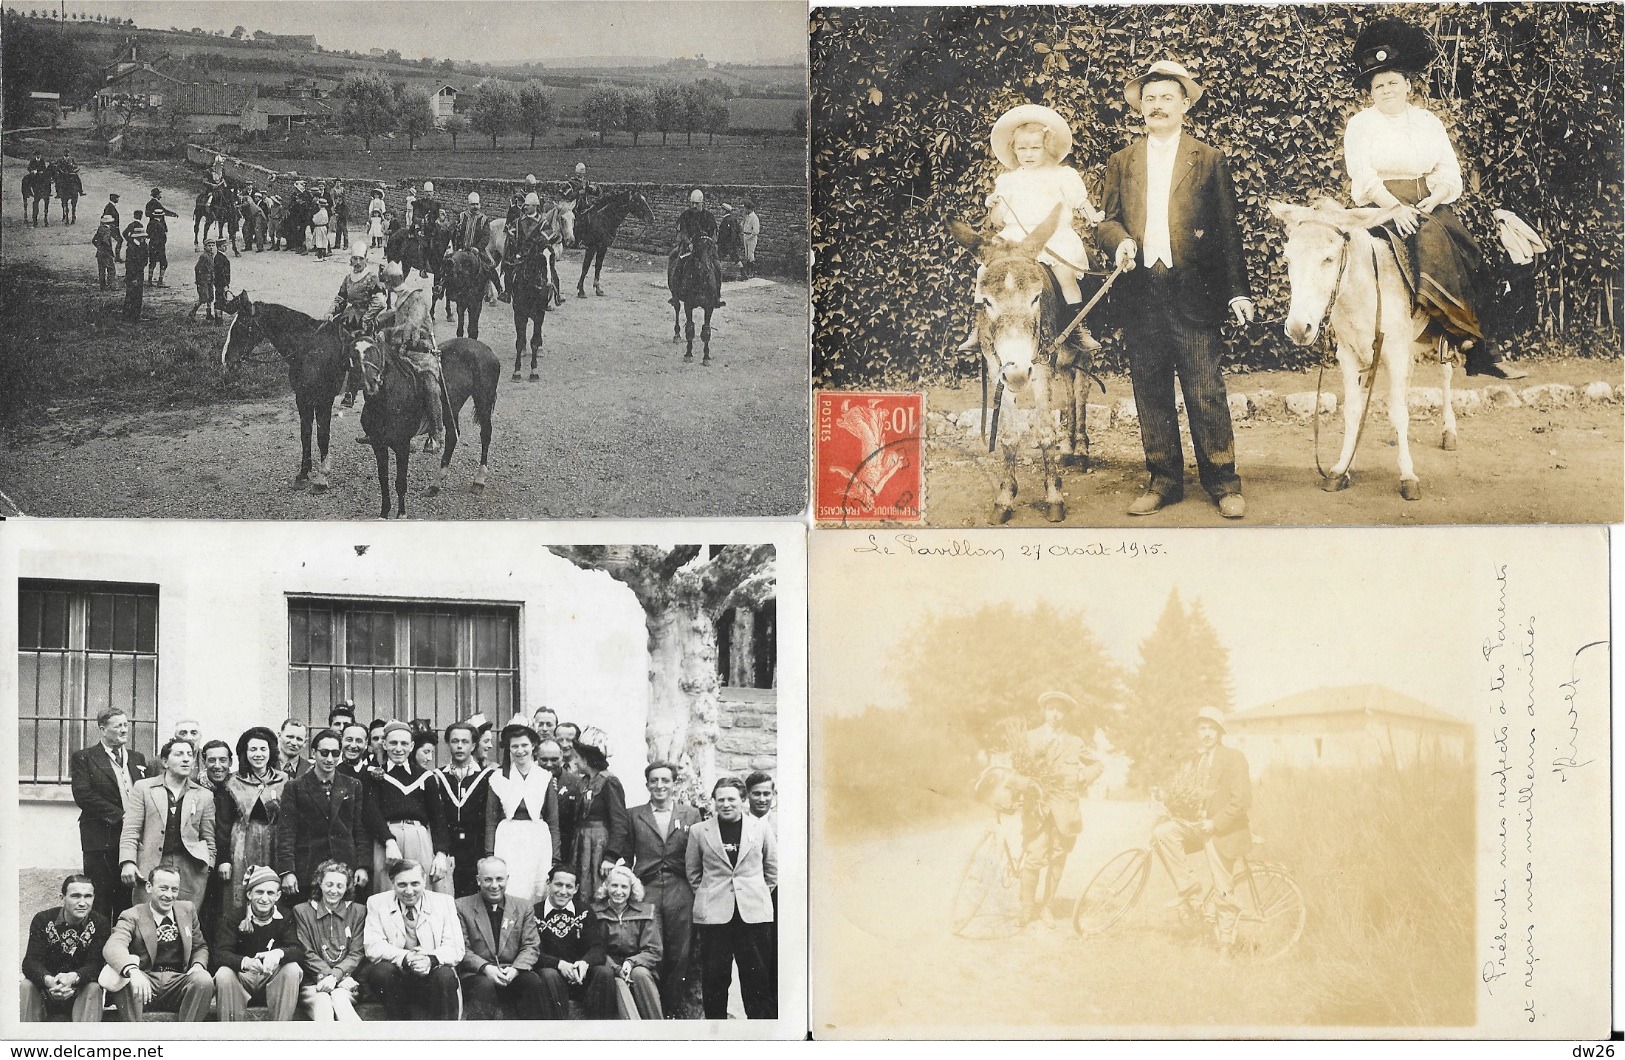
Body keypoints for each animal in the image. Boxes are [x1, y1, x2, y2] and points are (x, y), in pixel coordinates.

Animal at [219, 292, 352, 490]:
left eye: (241, 326)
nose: (226, 360)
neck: (310, 350)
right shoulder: (302, 398)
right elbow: (305, 434)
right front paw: (303, 473)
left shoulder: (324, 399)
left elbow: (322, 436)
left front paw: (322, 477)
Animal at [342, 331, 494, 513]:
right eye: (352, 355)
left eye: (375, 352)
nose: (369, 383)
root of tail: (485, 348)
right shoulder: (378, 444)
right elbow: (383, 481)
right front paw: (384, 513)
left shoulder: (402, 445)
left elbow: (400, 483)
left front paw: (401, 515)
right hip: (451, 410)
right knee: (452, 436)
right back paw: (435, 484)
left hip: (483, 401)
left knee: (485, 435)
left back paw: (479, 480)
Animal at [669, 232, 728, 364]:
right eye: (697, 249)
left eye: (711, 250)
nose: (705, 269)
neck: (700, 281)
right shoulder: (688, 305)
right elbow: (690, 328)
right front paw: (688, 354)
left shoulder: (709, 306)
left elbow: (706, 330)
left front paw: (706, 357)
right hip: (675, 296)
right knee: (677, 307)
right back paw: (677, 335)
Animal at [942, 204, 1079, 523]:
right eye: (986, 302)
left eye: (1036, 297)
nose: (1018, 376)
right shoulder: (997, 370)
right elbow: (1007, 434)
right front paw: (1005, 497)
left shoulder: (1041, 368)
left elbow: (1045, 431)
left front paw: (1053, 496)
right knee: (1069, 378)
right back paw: (1068, 448)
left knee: (1078, 384)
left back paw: (1076, 446)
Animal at [1267, 200, 1462, 503]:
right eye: (1287, 260)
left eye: (1329, 258)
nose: (1299, 328)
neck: (1359, 294)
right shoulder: (1348, 355)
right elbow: (1353, 410)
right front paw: (1343, 467)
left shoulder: (1395, 352)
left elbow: (1399, 412)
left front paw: (1408, 476)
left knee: (1444, 376)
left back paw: (1448, 433)